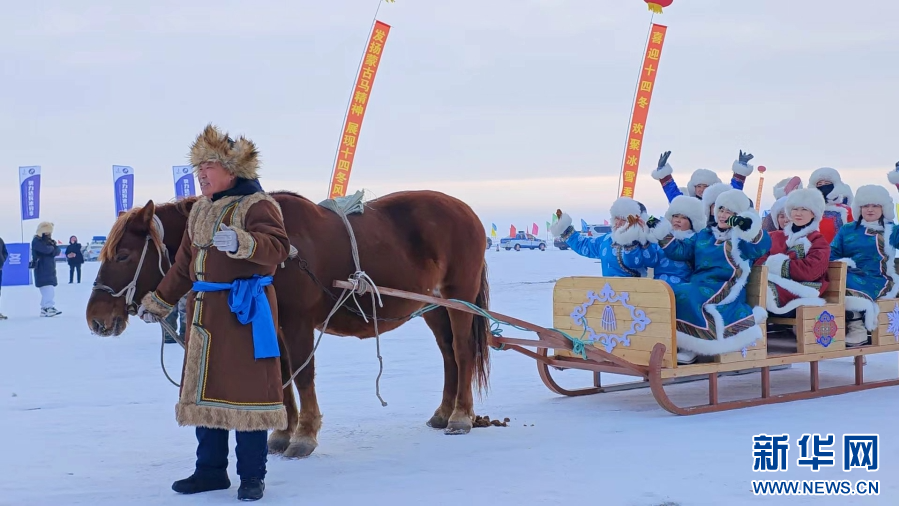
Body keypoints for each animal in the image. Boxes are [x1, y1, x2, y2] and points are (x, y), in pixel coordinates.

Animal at [84, 190, 492, 458]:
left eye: (123, 254)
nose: (95, 319)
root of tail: (466, 211)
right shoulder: (270, 323)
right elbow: (279, 375)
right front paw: (282, 432)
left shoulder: (297, 323)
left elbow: (302, 374)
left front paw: (305, 434)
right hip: (432, 305)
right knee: (448, 355)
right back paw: (444, 411)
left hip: (458, 299)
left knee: (462, 351)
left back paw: (461, 415)